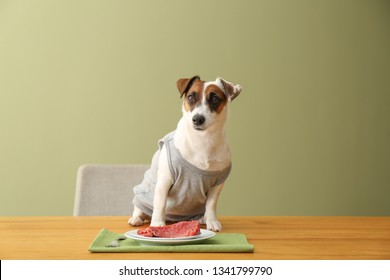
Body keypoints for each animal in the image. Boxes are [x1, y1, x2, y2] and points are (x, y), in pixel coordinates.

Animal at [129, 75, 241, 231]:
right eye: (191, 97)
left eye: (215, 99)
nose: (198, 119)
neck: (203, 140)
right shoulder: (164, 180)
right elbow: (160, 204)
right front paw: (157, 223)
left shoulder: (218, 183)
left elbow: (211, 204)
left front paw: (212, 221)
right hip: (142, 195)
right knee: (139, 208)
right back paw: (137, 218)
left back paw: (202, 218)